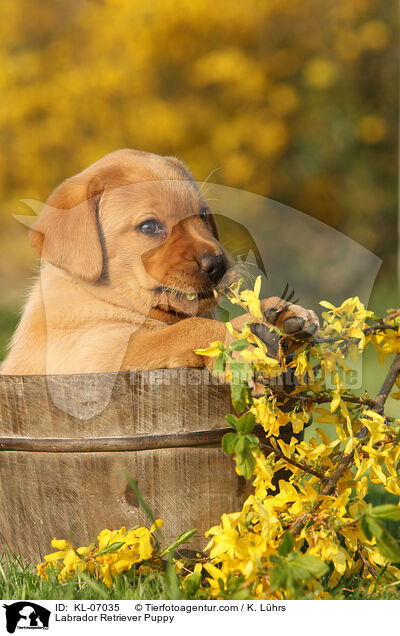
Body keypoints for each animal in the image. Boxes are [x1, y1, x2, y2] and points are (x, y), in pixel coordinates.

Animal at [0, 149, 318, 376]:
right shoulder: (97, 358)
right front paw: (246, 334)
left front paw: (278, 314)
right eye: (150, 227)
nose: (217, 264)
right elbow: (187, 330)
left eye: (203, 216)